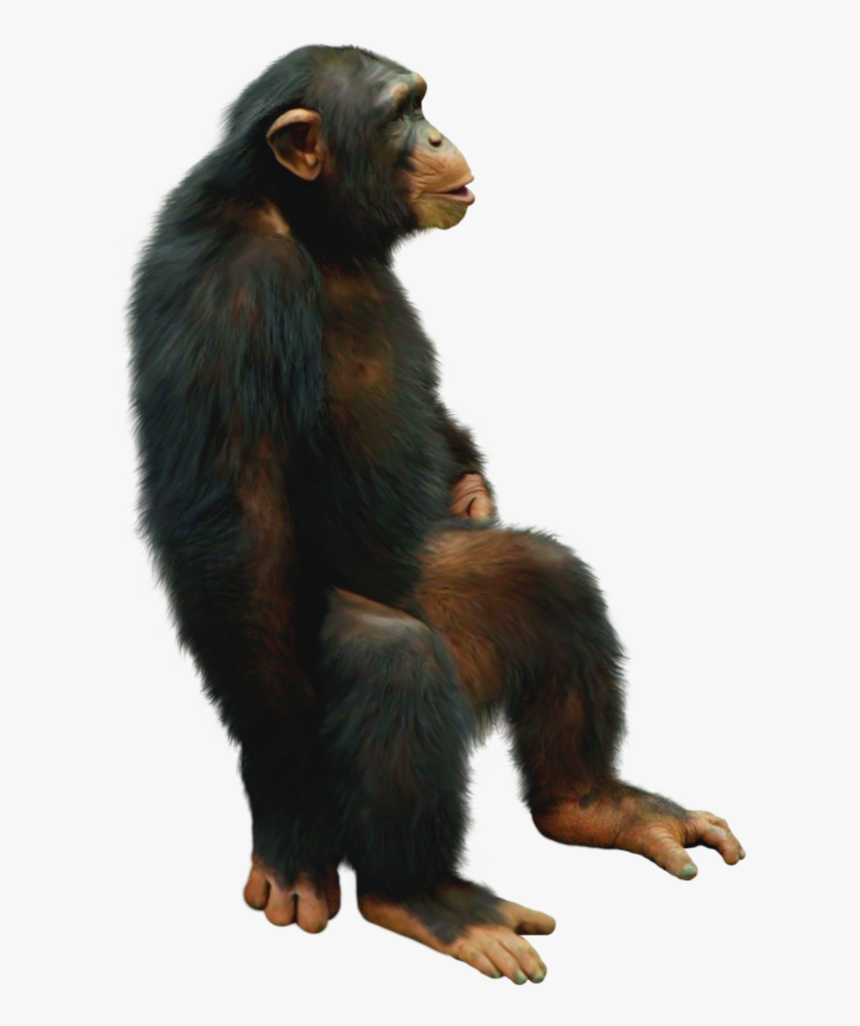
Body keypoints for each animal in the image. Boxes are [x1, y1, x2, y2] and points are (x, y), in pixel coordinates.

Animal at [130, 44, 744, 984]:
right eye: (398, 113)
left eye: (423, 103)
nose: (436, 134)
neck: (311, 223)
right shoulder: (232, 294)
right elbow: (236, 528)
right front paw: (291, 832)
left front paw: (474, 492)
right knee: (392, 663)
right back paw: (424, 897)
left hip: (450, 594)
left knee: (549, 580)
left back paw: (596, 804)